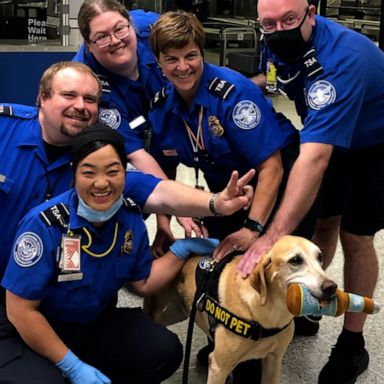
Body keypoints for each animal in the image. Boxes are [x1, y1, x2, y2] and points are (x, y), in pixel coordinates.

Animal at [146, 234, 338, 384]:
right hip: (164, 314)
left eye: (320, 257)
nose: (331, 287)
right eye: (296, 260)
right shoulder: (219, 367)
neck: (270, 312)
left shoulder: (273, 361)